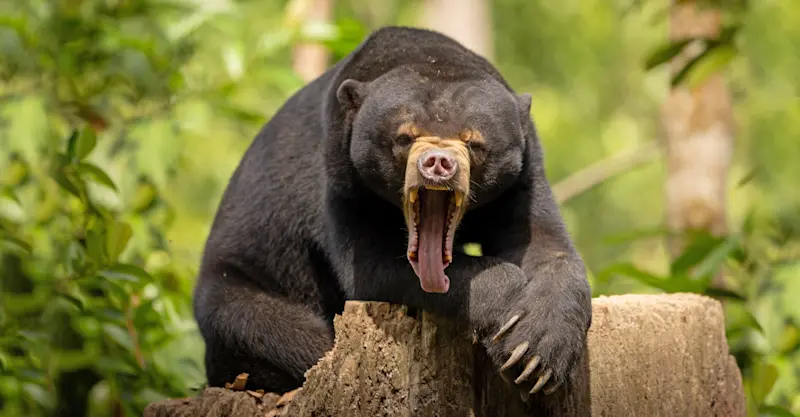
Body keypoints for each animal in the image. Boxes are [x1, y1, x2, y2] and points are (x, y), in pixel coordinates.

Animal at [192, 26, 592, 401]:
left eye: (474, 142)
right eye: (405, 137)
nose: (438, 163)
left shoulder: (524, 173)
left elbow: (545, 244)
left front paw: (534, 356)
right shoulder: (342, 178)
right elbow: (373, 266)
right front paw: (506, 311)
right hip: (235, 293)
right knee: (277, 330)